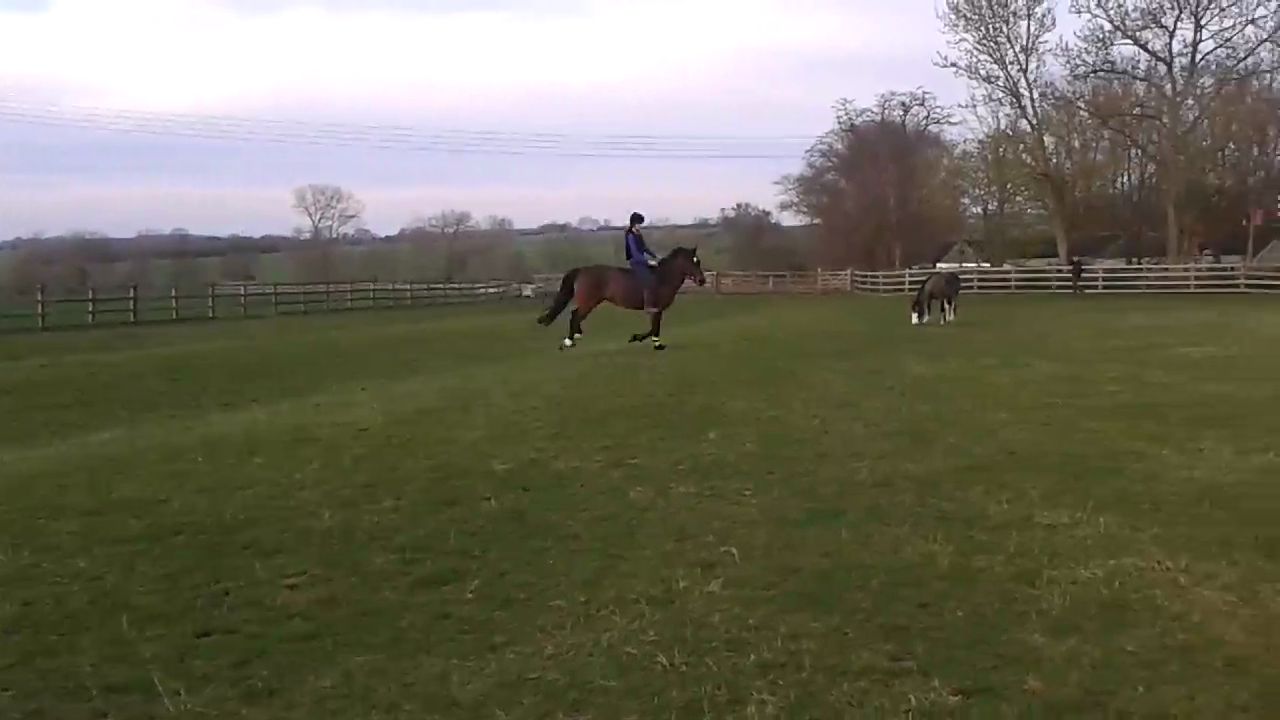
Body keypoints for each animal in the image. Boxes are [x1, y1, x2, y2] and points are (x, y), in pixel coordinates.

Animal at [536, 246, 706, 350]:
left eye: (698, 261)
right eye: (692, 262)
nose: (702, 281)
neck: (662, 277)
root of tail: (582, 270)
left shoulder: (657, 310)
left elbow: (654, 327)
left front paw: (652, 342)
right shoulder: (654, 308)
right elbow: (654, 328)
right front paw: (641, 340)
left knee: (575, 315)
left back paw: (576, 336)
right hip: (589, 301)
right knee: (576, 315)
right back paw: (569, 341)